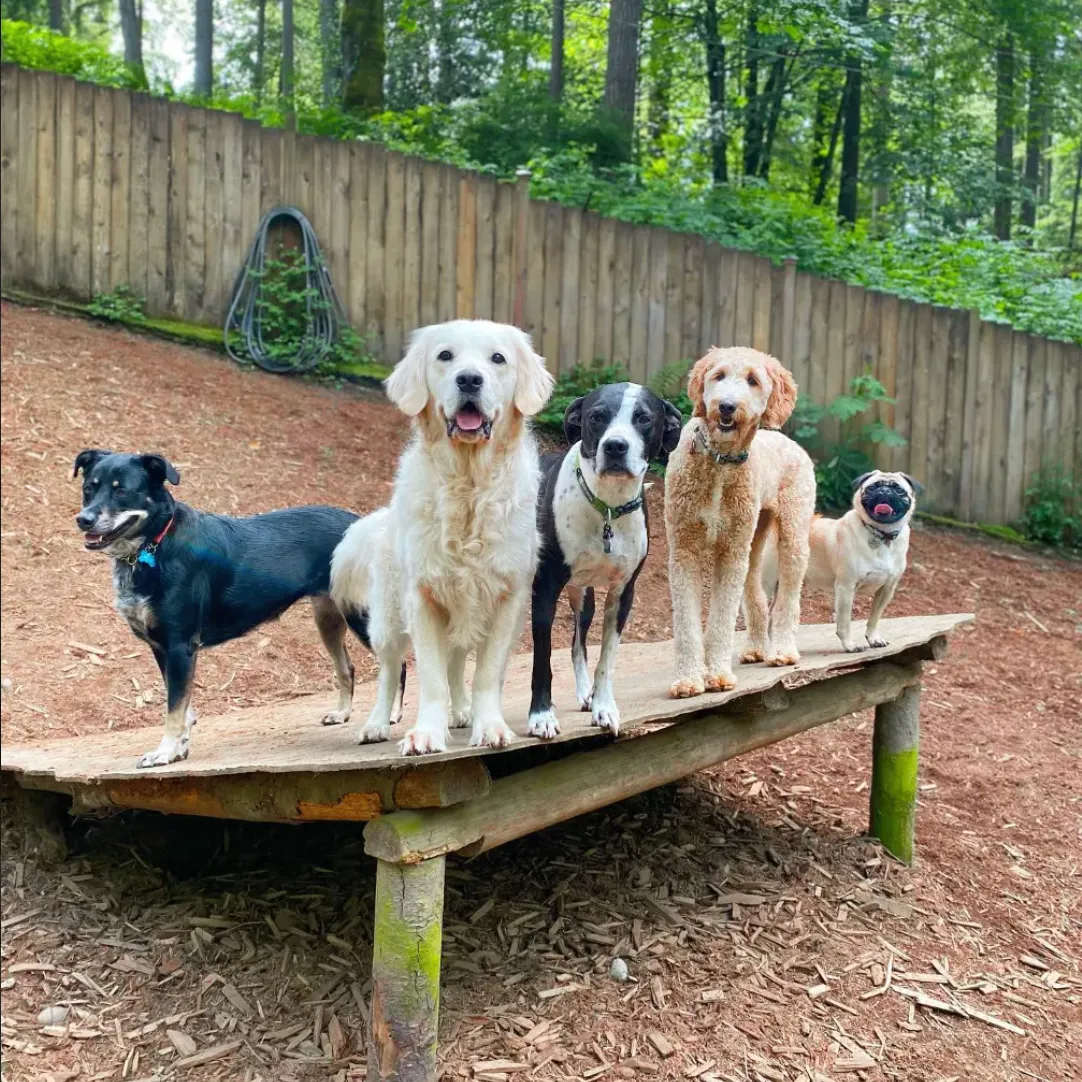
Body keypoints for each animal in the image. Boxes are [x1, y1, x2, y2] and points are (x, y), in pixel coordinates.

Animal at [73, 450, 400, 768]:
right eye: (89, 487)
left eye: (122, 491)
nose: (83, 520)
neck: (155, 544)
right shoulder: (162, 647)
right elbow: (183, 707)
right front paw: (179, 748)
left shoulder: (179, 645)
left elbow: (174, 709)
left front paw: (164, 752)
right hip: (328, 618)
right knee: (347, 667)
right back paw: (342, 713)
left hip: (362, 615)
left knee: (396, 662)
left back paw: (387, 719)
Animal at [330, 319, 554, 756]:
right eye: (445, 356)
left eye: (497, 358)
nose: (469, 379)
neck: (468, 484)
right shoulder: (423, 598)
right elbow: (430, 678)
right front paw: (427, 734)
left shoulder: (507, 598)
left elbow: (486, 674)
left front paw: (489, 725)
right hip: (388, 618)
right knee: (390, 670)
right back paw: (376, 724)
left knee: (456, 661)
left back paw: (463, 711)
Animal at [527, 383, 682, 739]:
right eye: (596, 416)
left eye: (643, 418)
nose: (615, 446)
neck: (607, 505)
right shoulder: (544, 592)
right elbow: (542, 660)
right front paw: (541, 715)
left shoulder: (623, 594)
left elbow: (606, 659)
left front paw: (603, 706)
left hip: (583, 597)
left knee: (577, 643)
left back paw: (585, 692)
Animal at [664, 347, 815, 698]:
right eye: (718, 376)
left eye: (752, 380)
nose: (727, 406)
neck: (719, 462)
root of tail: (790, 443)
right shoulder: (684, 549)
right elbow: (687, 624)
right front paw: (688, 680)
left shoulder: (730, 553)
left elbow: (721, 619)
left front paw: (717, 675)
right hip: (752, 542)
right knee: (756, 595)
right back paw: (756, 646)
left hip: (792, 537)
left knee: (788, 600)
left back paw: (781, 650)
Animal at [791, 471, 919, 652]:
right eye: (872, 487)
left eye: (899, 489)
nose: (885, 490)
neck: (880, 535)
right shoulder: (846, 587)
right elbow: (845, 623)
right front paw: (850, 646)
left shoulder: (887, 588)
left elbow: (874, 618)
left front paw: (873, 639)